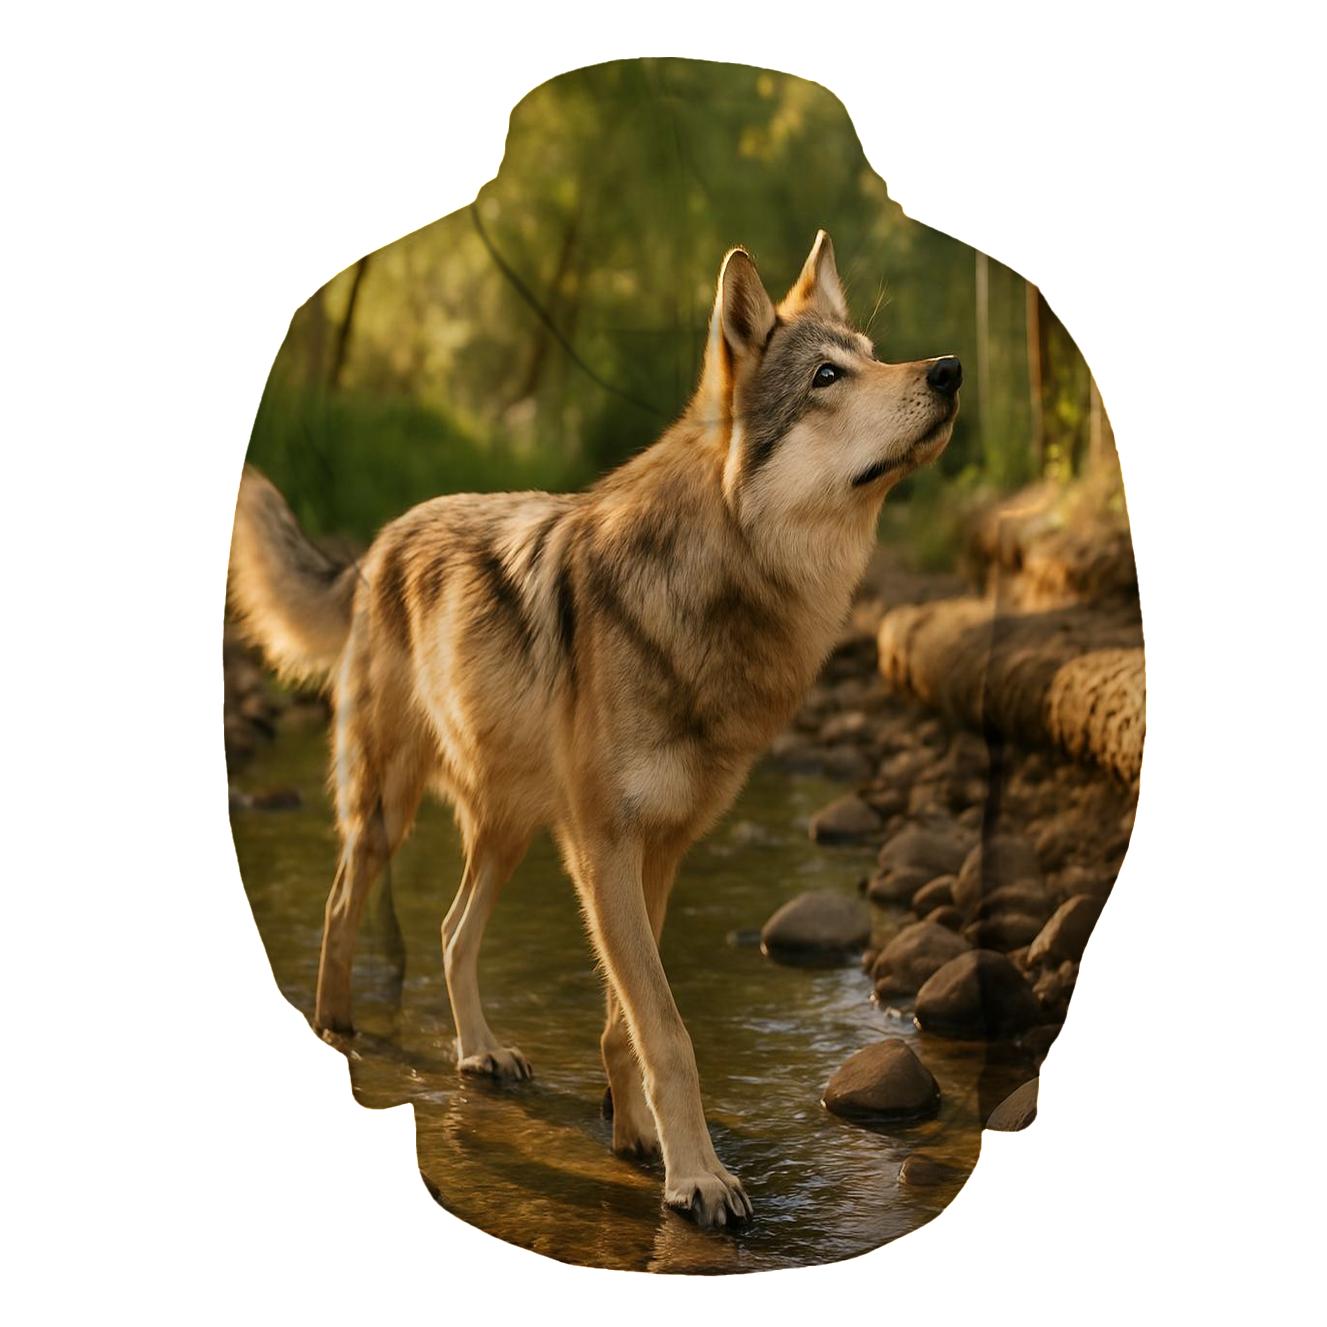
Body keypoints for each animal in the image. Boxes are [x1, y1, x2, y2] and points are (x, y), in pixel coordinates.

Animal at [228, 231, 959, 1228]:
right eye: (824, 375)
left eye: (874, 354)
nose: (950, 370)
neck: (718, 591)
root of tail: (377, 541)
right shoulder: (606, 846)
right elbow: (667, 1029)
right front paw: (700, 1177)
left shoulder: (657, 848)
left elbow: (627, 1022)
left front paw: (642, 1143)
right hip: (388, 811)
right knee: (344, 908)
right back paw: (340, 1032)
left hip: (508, 829)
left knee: (452, 931)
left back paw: (478, 1051)